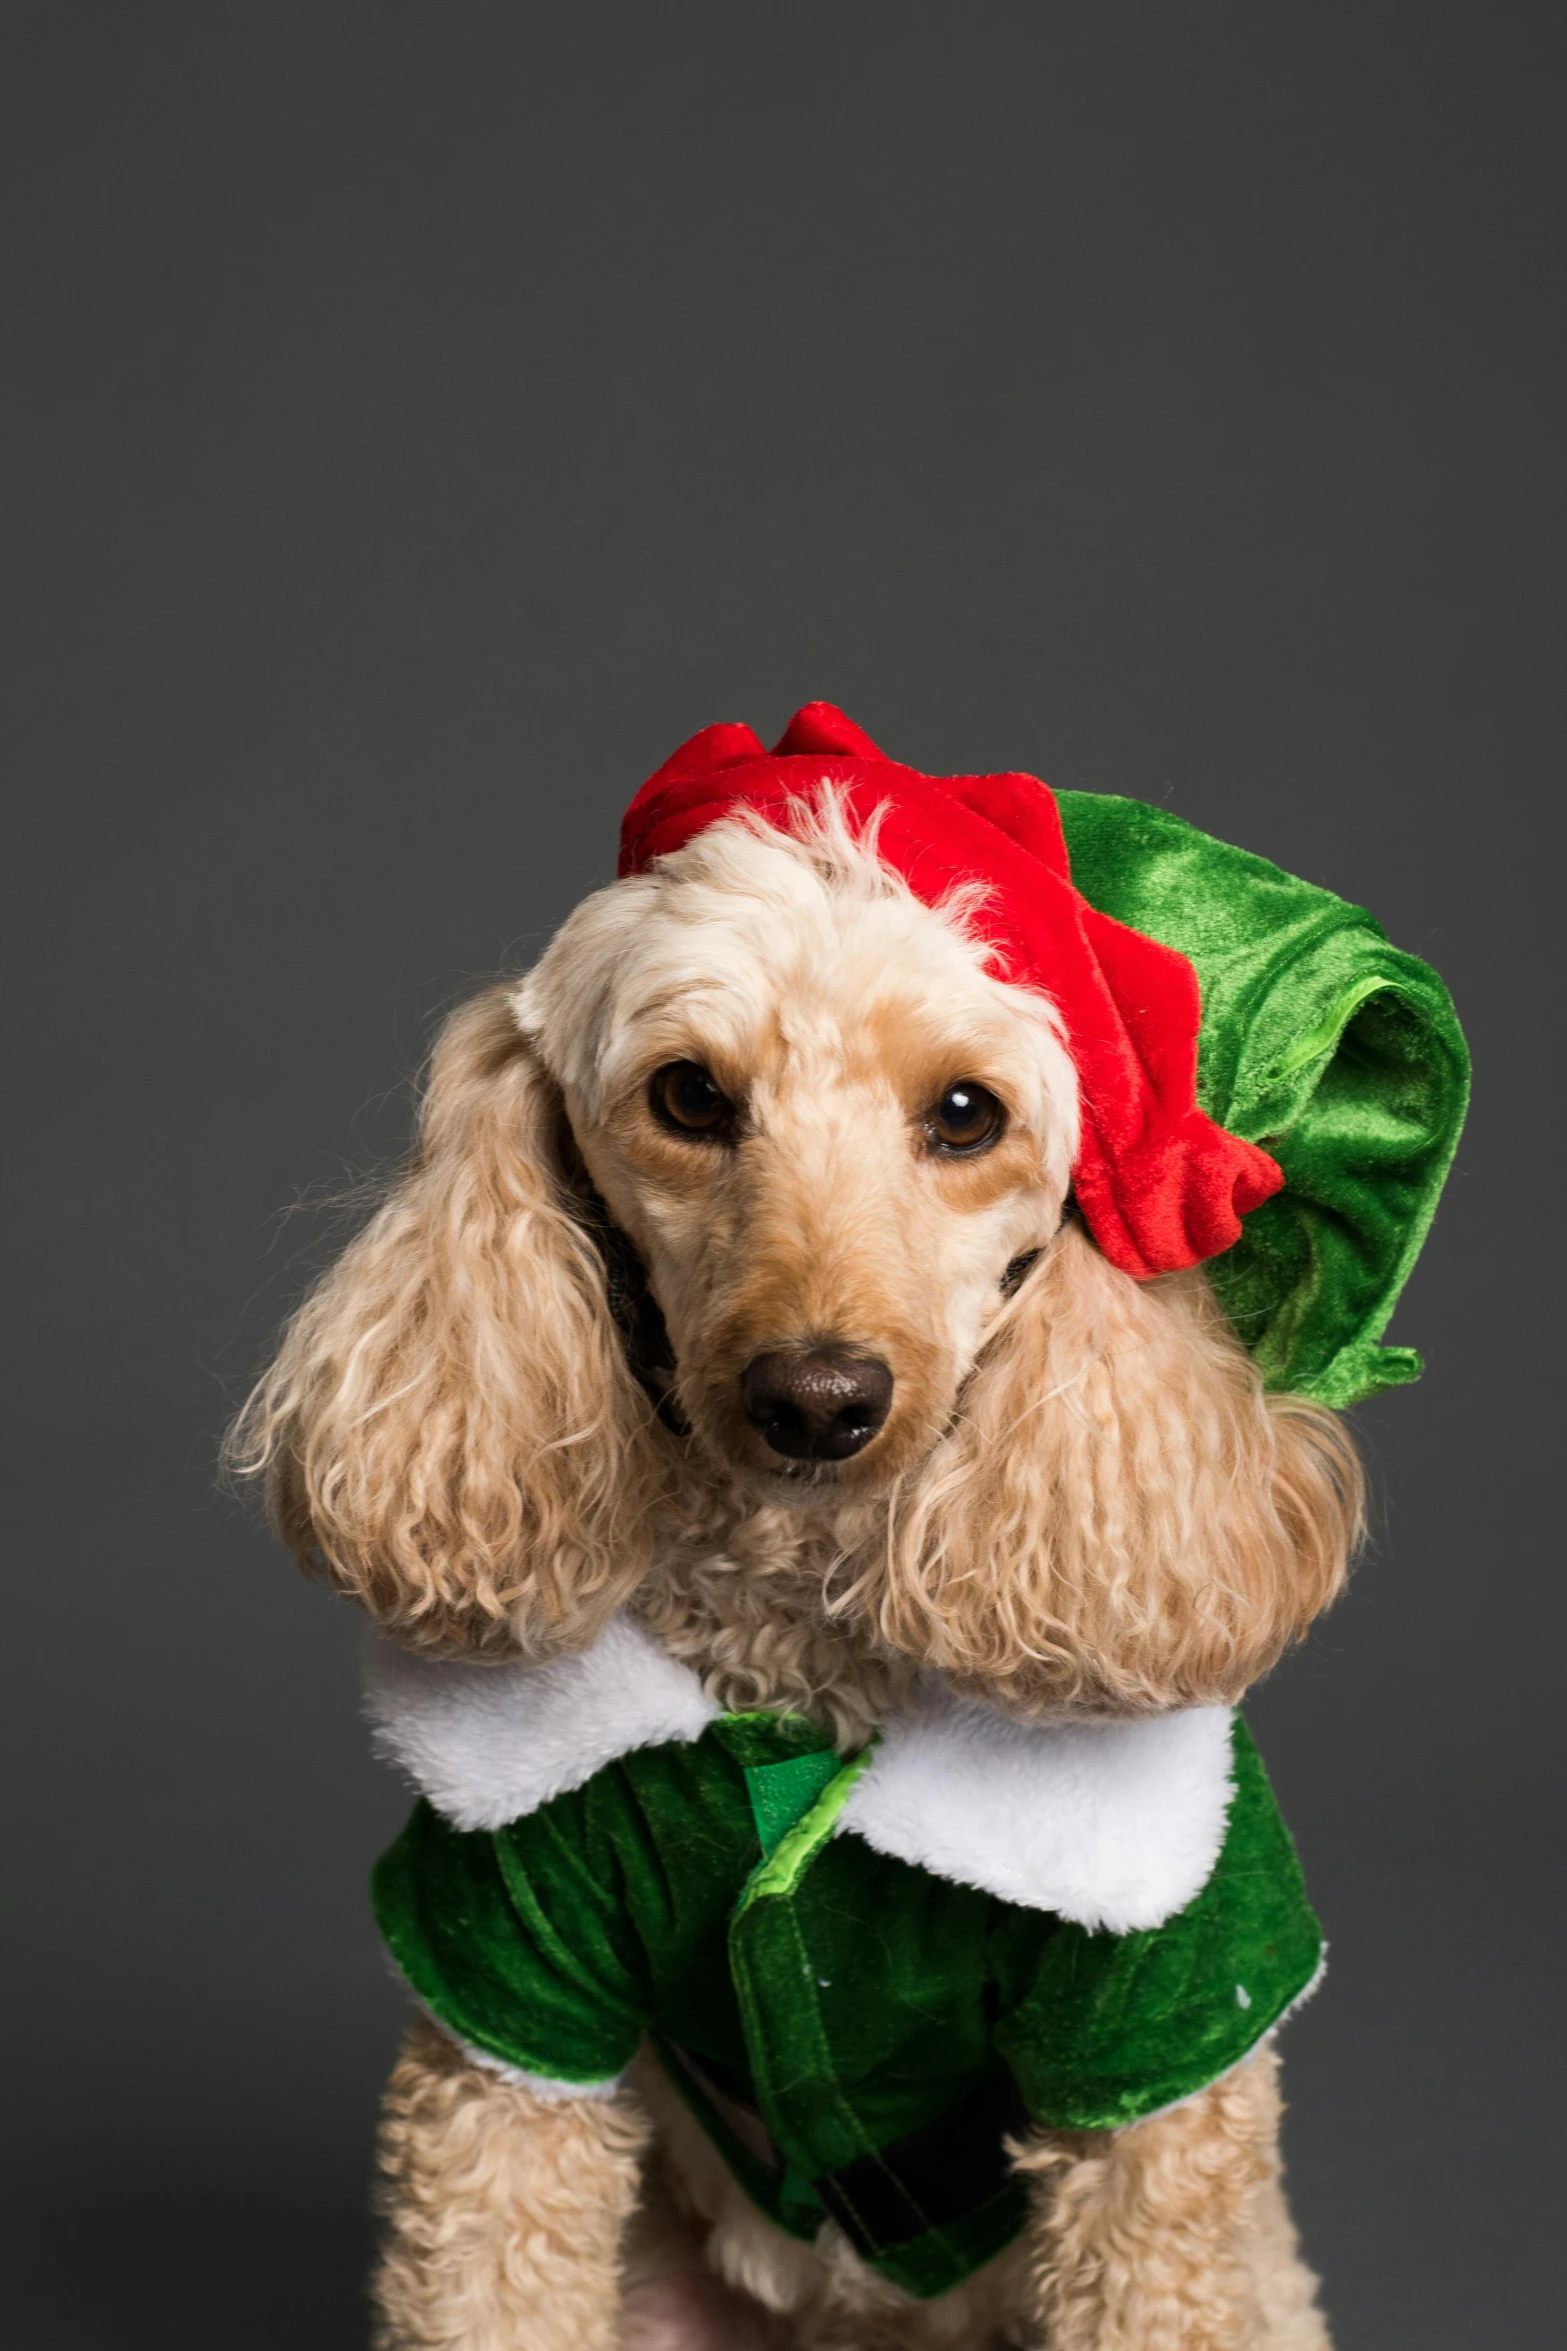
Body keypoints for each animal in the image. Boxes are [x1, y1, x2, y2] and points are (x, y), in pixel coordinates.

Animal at [230, 742, 1362, 2341]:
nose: (815, 1398)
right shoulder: (506, 1993)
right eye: (690, 1095)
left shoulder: (1160, 2027)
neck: (799, 1650)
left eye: (965, 1115)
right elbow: (486, 2269)